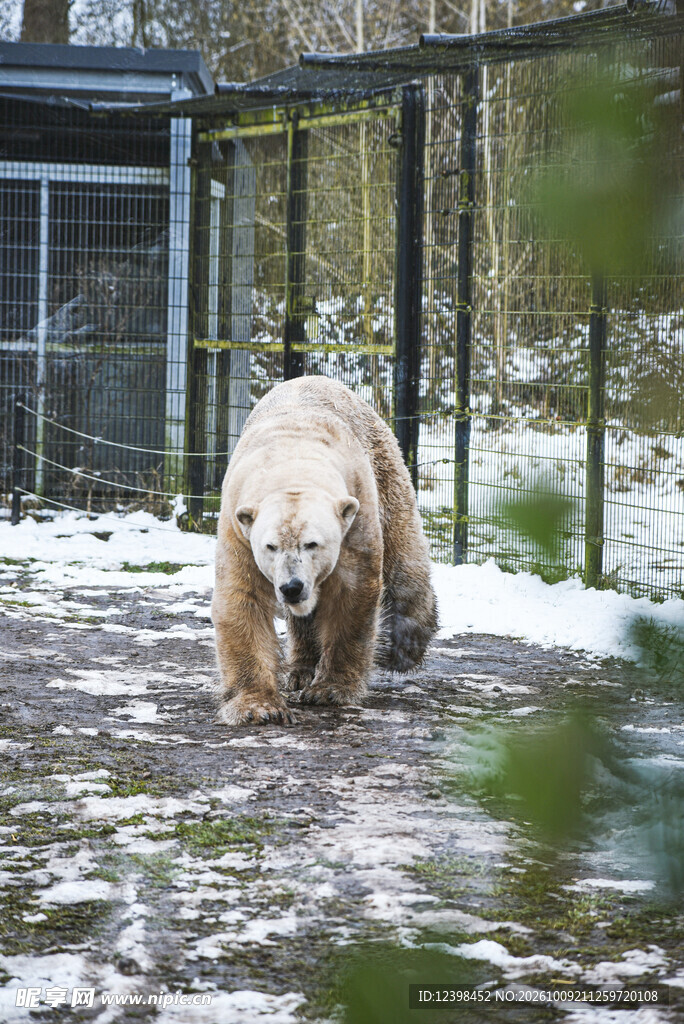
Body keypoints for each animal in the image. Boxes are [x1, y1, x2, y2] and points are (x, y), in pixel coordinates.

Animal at [212, 375, 438, 725]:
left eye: (312, 543)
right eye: (270, 546)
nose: (291, 587)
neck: (291, 461)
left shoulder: (355, 514)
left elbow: (351, 590)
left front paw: (330, 689)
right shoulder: (239, 527)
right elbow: (243, 597)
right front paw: (258, 707)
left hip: (385, 471)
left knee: (405, 569)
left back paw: (404, 648)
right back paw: (300, 671)